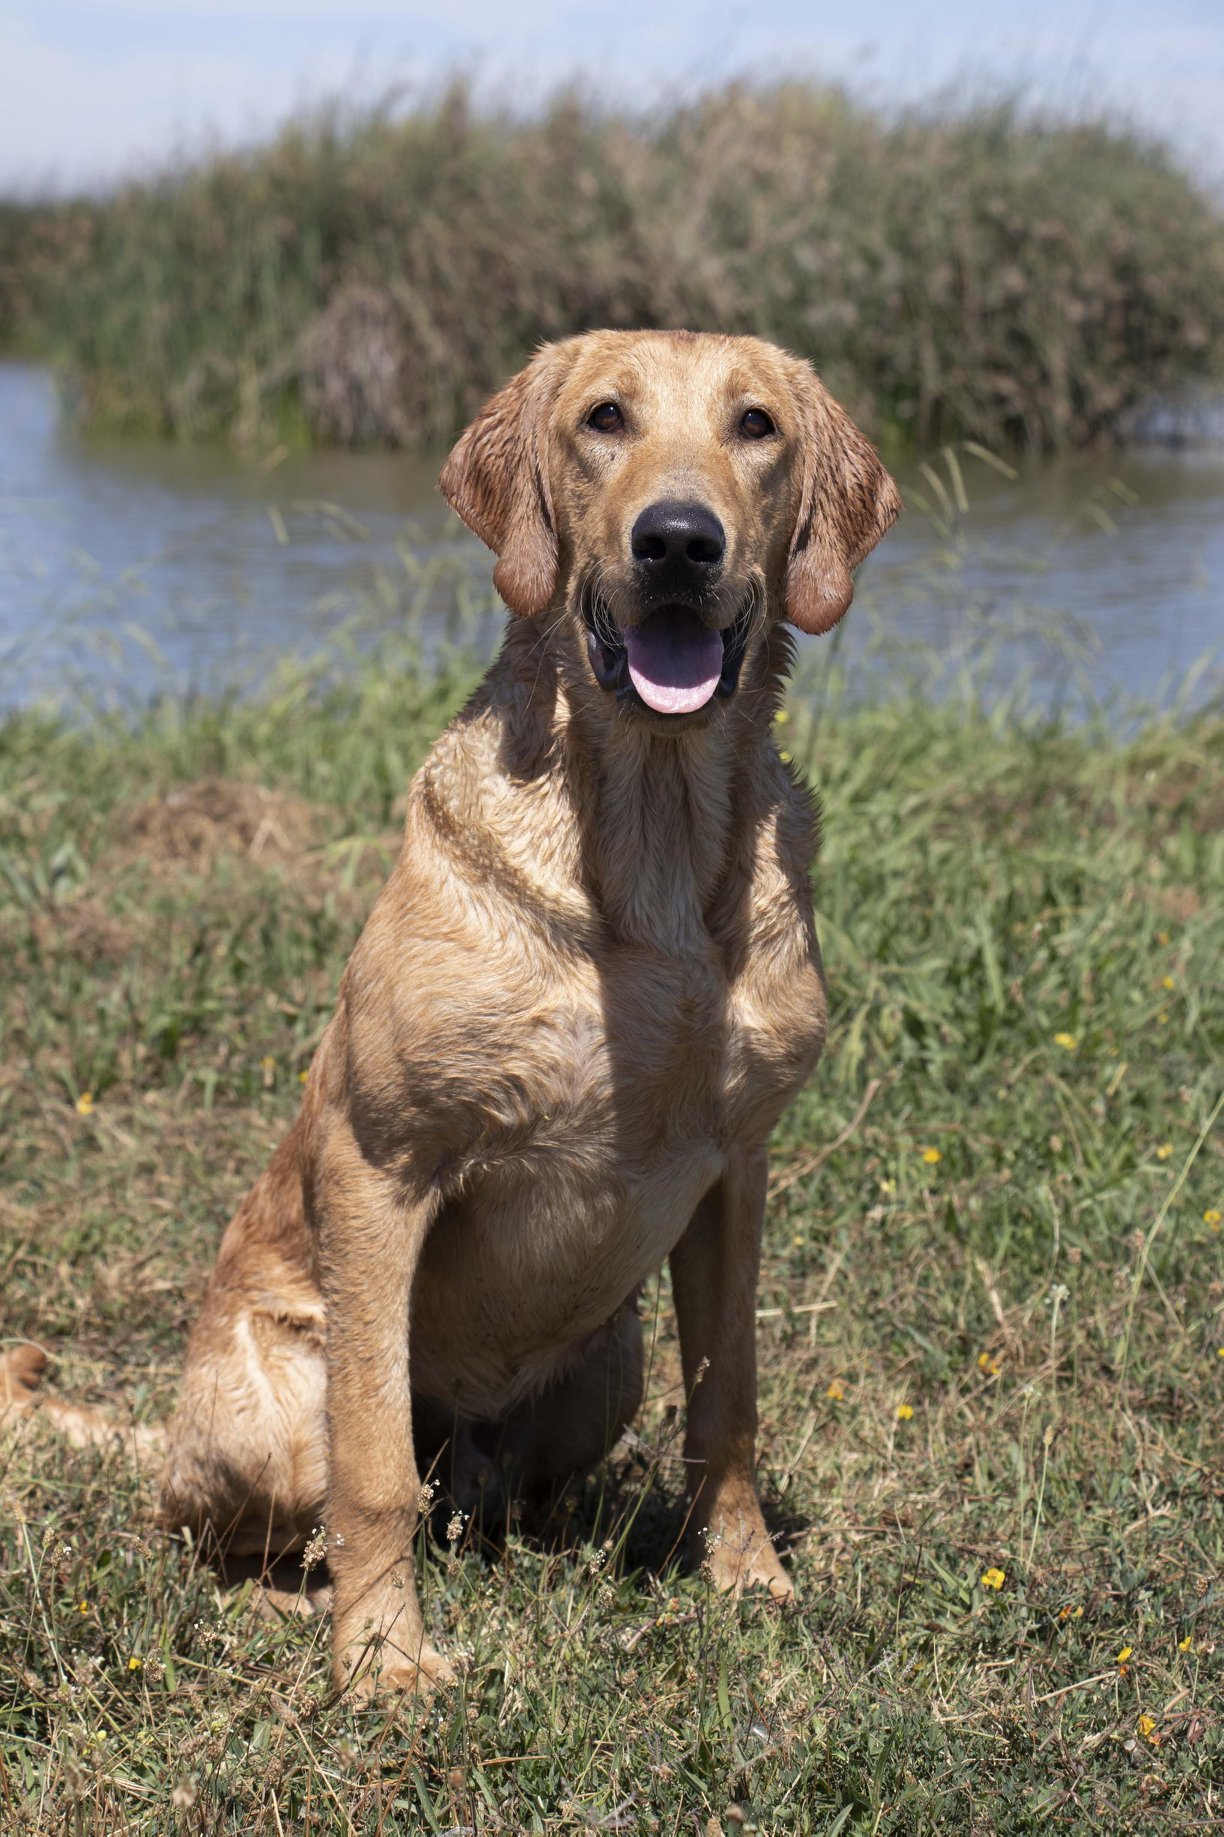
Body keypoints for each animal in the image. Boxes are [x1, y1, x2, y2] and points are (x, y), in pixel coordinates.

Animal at [2, 330, 896, 1690]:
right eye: (604, 419)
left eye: (756, 426)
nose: (677, 540)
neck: (650, 841)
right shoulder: (385, 1165)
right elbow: (371, 1465)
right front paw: (382, 1662)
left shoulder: (735, 1169)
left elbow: (730, 1402)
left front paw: (746, 1580)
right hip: (275, 1407)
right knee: (231, 1535)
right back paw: (303, 1605)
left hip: (607, 1359)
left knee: (501, 1503)